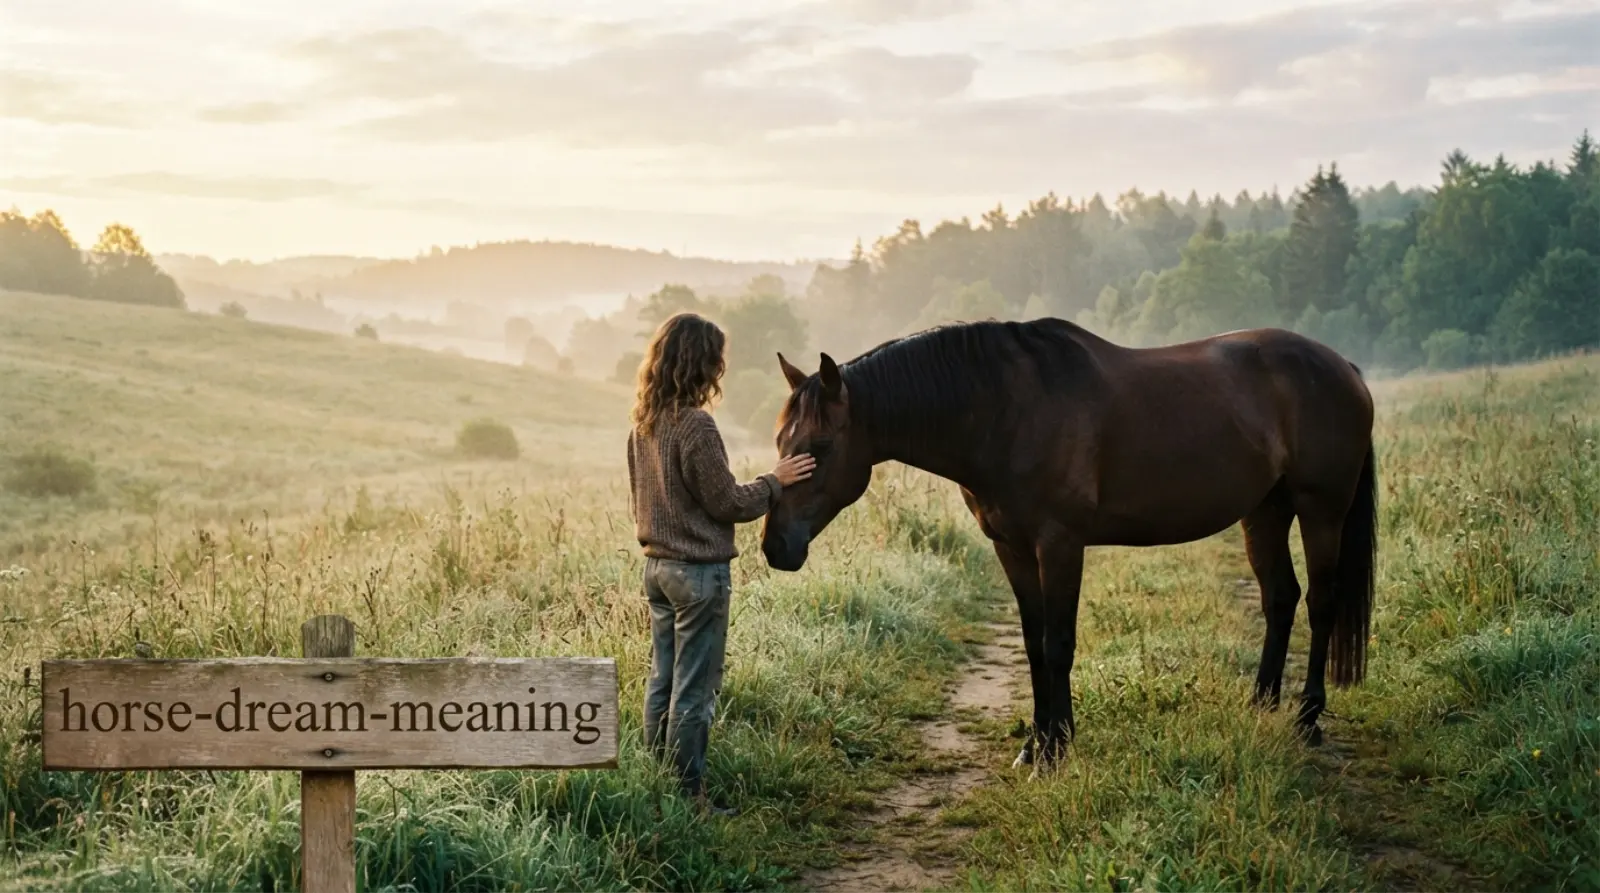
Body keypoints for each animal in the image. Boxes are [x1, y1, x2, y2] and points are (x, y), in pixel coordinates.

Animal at [760, 318, 1377, 770]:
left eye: (820, 446)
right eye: (780, 440)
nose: (776, 546)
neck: (1004, 410)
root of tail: (1343, 367)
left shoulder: (1059, 545)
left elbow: (1059, 643)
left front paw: (1056, 749)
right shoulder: (1011, 548)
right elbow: (1034, 644)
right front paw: (1036, 744)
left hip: (1321, 510)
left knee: (1320, 603)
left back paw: (1307, 717)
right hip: (1264, 512)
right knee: (1280, 598)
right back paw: (1260, 705)